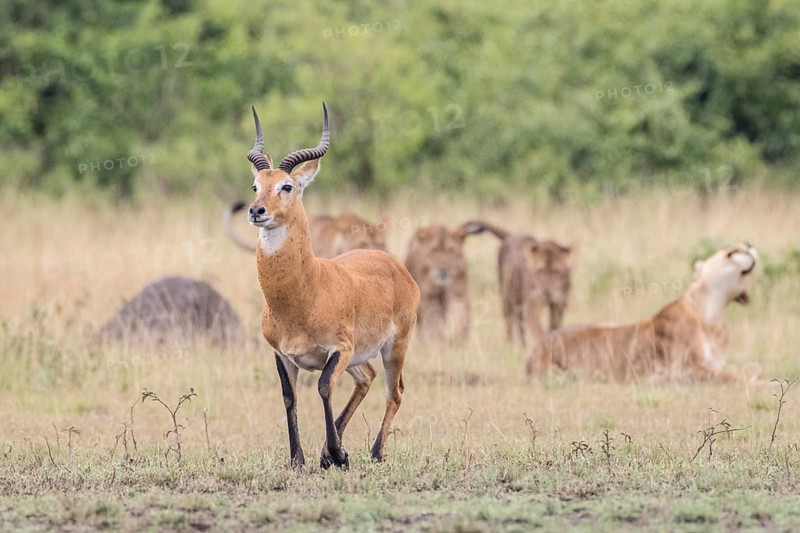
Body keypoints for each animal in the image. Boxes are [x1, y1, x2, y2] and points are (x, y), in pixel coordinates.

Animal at [526, 243, 758, 382]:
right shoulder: (684, 369)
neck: (715, 314)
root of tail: (534, 351)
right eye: (730, 252)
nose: (748, 244)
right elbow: (736, 376)